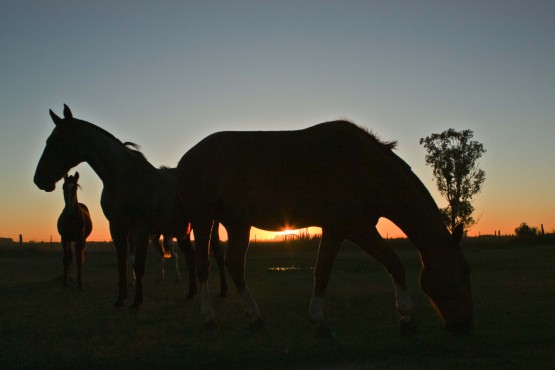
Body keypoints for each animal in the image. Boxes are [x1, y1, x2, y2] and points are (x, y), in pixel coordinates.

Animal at [33, 105, 226, 310]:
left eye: (60, 140)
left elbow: (138, 265)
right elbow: (122, 263)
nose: (39, 179)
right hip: (183, 231)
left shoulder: (140, 229)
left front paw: (136, 302)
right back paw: (191, 293)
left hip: (208, 226)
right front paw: (120, 299)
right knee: (190, 258)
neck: (123, 178)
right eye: (48, 140)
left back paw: (223, 291)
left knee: (217, 255)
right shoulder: (117, 228)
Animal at [177, 120, 474, 336]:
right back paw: (209, 319)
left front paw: (318, 321)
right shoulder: (355, 226)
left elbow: (322, 272)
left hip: (238, 223)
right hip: (204, 219)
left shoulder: (336, 229)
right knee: (203, 266)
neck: (364, 165)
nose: (465, 326)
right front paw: (407, 317)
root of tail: (187, 158)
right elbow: (394, 262)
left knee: (235, 265)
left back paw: (256, 318)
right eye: (463, 272)